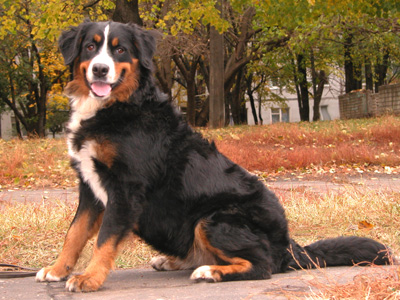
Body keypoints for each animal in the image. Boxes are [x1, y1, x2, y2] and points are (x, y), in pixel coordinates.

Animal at [36, 21, 392, 292]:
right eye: (90, 47)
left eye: (120, 50)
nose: (100, 69)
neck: (118, 108)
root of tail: (289, 244)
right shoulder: (90, 187)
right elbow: (75, 233)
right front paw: (57, 269)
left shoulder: (125, 189)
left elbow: (104, 239)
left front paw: (89, 278)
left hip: (214, 219)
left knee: (263, 264)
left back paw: (211, 271)